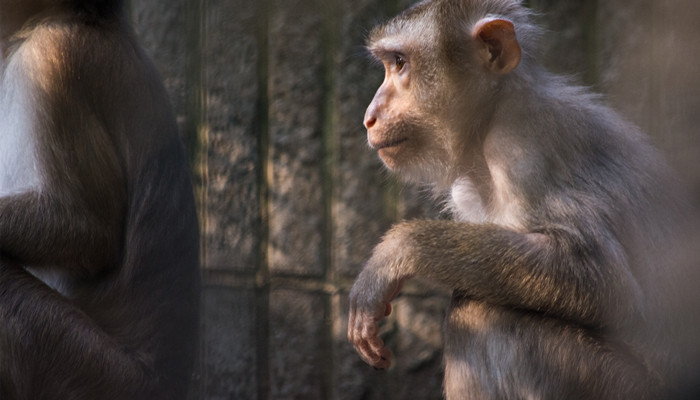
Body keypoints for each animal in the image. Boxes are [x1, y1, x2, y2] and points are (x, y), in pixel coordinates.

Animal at [348, 1, 700, 398]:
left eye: (400, 62)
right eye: (389, 63)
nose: (369, 117)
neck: (492, 115)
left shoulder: (523, 151)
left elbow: (602, 279)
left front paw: (397, 252)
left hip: (619, 385)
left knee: (483, 313)